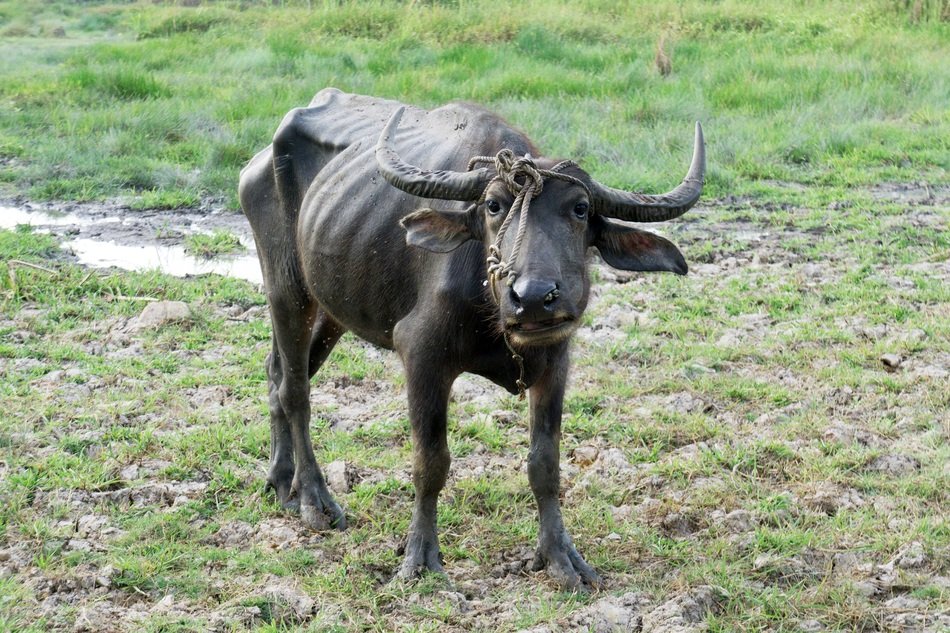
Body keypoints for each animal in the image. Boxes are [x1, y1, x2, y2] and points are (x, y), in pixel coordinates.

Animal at [239, 88, 704, 590]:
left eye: (580, 209)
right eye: (493, 205)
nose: (533, 297)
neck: (492, 316)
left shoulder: (555, 361)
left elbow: (545, 463)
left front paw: (561, 558)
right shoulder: (422, 357)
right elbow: (431, 462)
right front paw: (420, 558)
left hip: (333, 305)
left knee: (277, 372)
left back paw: (281, 479)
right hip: (286, 285)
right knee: (296, 390)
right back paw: (313, 498)